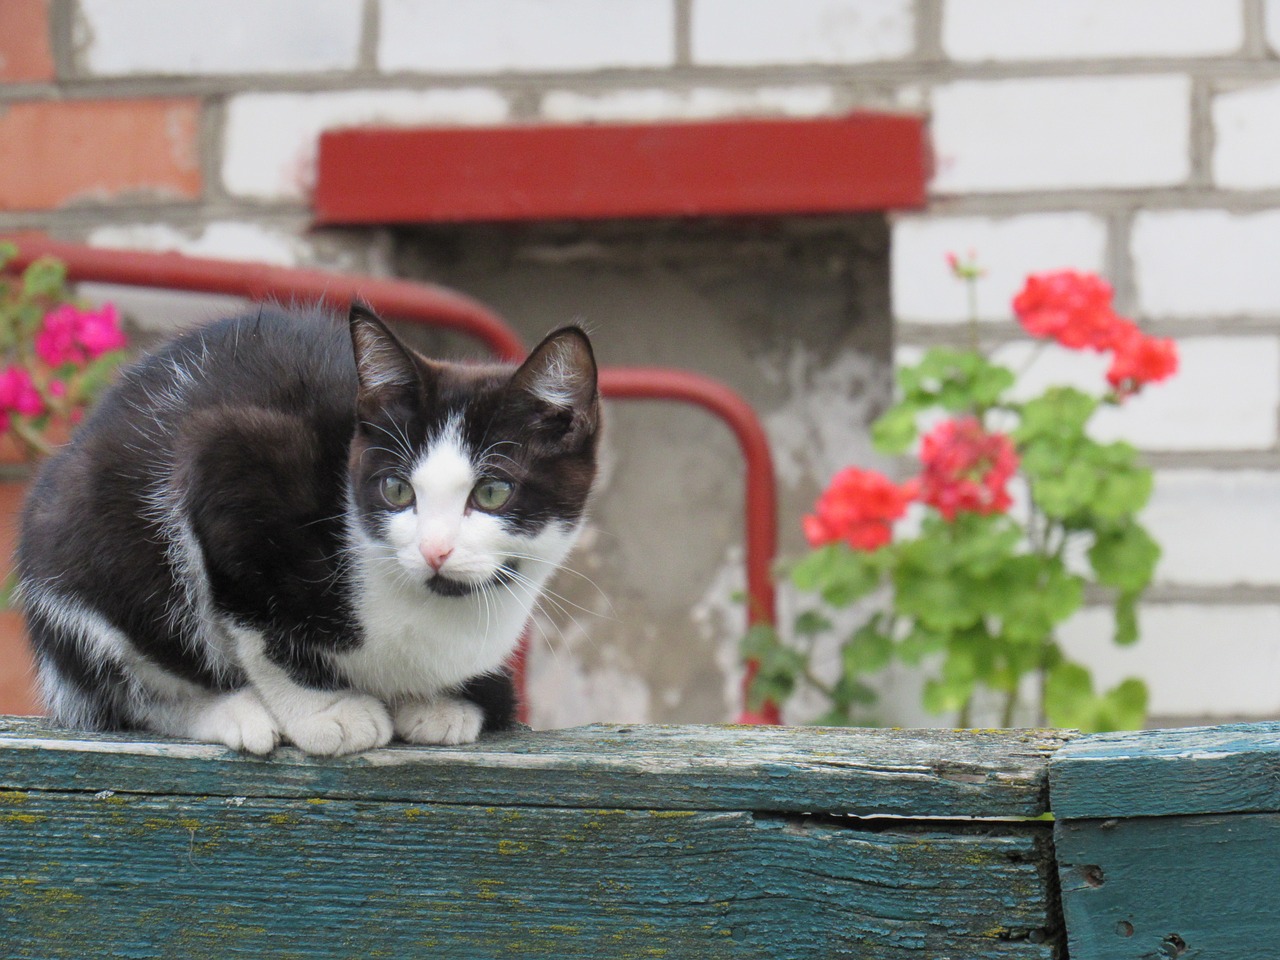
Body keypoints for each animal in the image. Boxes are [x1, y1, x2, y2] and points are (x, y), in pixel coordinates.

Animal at [18, 304, 599, 757]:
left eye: (493, 493)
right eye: (396, 490)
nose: (434, 550)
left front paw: (441, 702)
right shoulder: (229, 465)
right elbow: (260, 628)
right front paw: (326, 710)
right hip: (90, 565)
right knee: (134, 684)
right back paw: (233, 711)